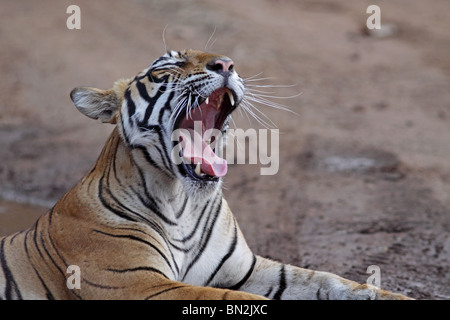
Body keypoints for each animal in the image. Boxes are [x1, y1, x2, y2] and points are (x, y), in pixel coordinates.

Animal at [0, 50, 412, 300]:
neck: (182, 200)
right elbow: (227, 297)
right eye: (168, 67)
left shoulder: (246, 268)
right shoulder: (136, 282)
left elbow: (327, 280)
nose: (226, 65)